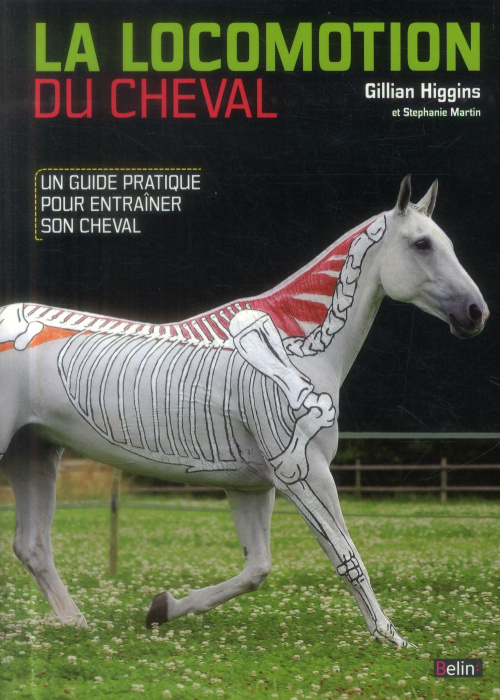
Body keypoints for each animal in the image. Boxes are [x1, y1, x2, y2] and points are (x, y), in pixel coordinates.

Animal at [0, 175, 488, 648]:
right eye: (422, 244)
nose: (475, 313)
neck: (301, 349)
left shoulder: (250, 485)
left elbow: (257, 569)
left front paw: (162, 609)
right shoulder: (303, 473)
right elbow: (346, 556)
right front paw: (391, 637)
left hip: (35, 452)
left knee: (33, 546)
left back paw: (75, 623)